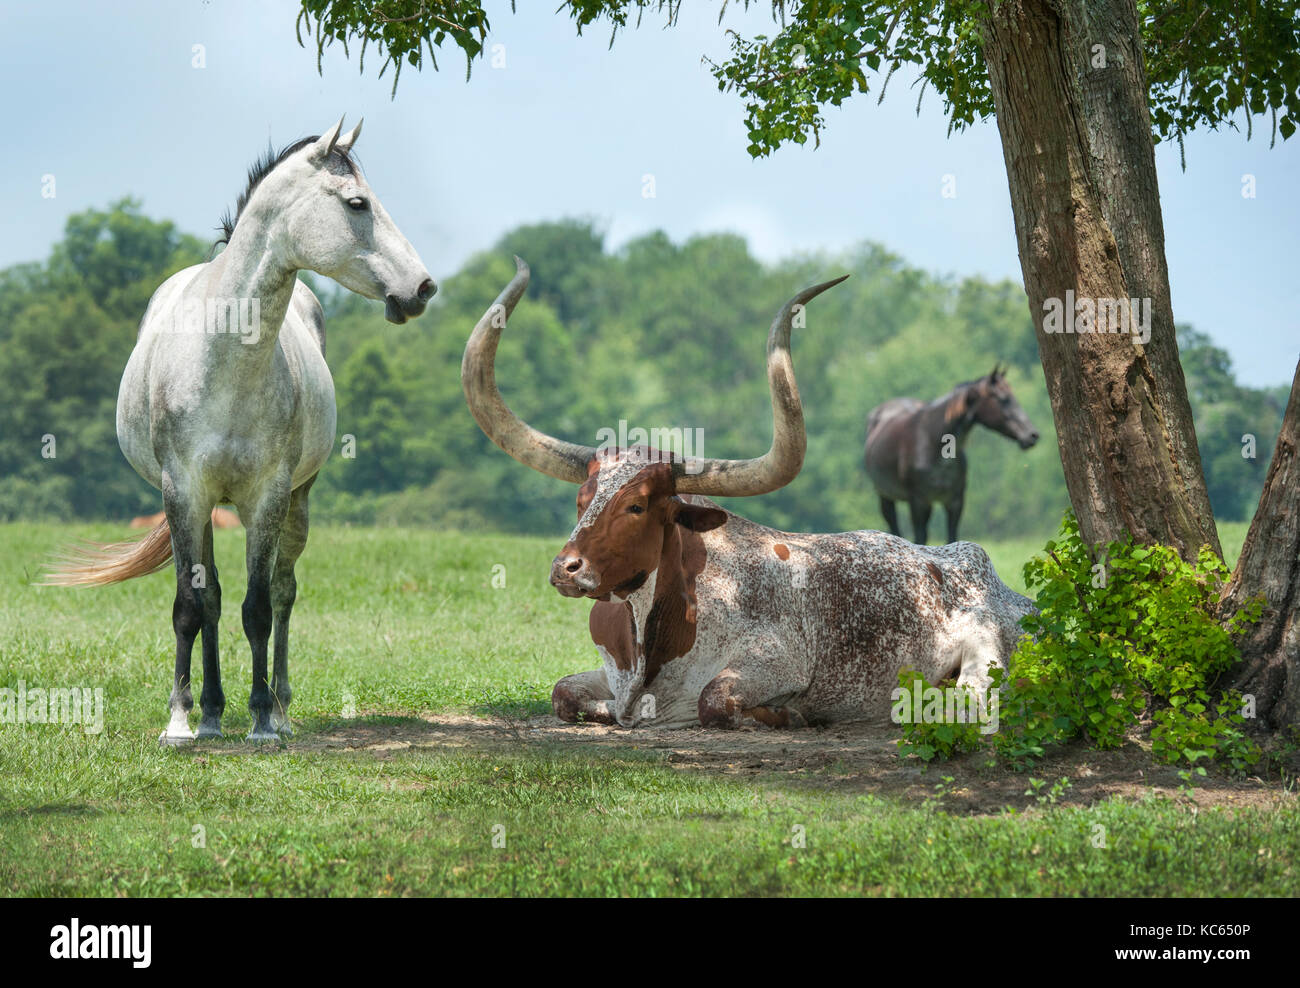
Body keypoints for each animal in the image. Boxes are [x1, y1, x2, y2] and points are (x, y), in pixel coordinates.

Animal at [45, 118, 434, 744]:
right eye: (357, 203)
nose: (422, 288)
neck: (224, 361)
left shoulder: (268, 496)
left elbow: (259, 607)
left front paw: (261, 723)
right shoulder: (184, 493)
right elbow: (193, 606)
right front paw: (182, 721)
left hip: (297, 501)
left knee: (281, 593)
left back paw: (278, 708)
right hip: (201, 509)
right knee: (212, 600)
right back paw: (209, 714)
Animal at [863, 366, 1039, 545]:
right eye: (1003, 399)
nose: (1032, 435)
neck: (933, 443)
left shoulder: (955, 502)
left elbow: (952, 537)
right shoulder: (918, 502)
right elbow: (920, 538)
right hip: (885, 496)